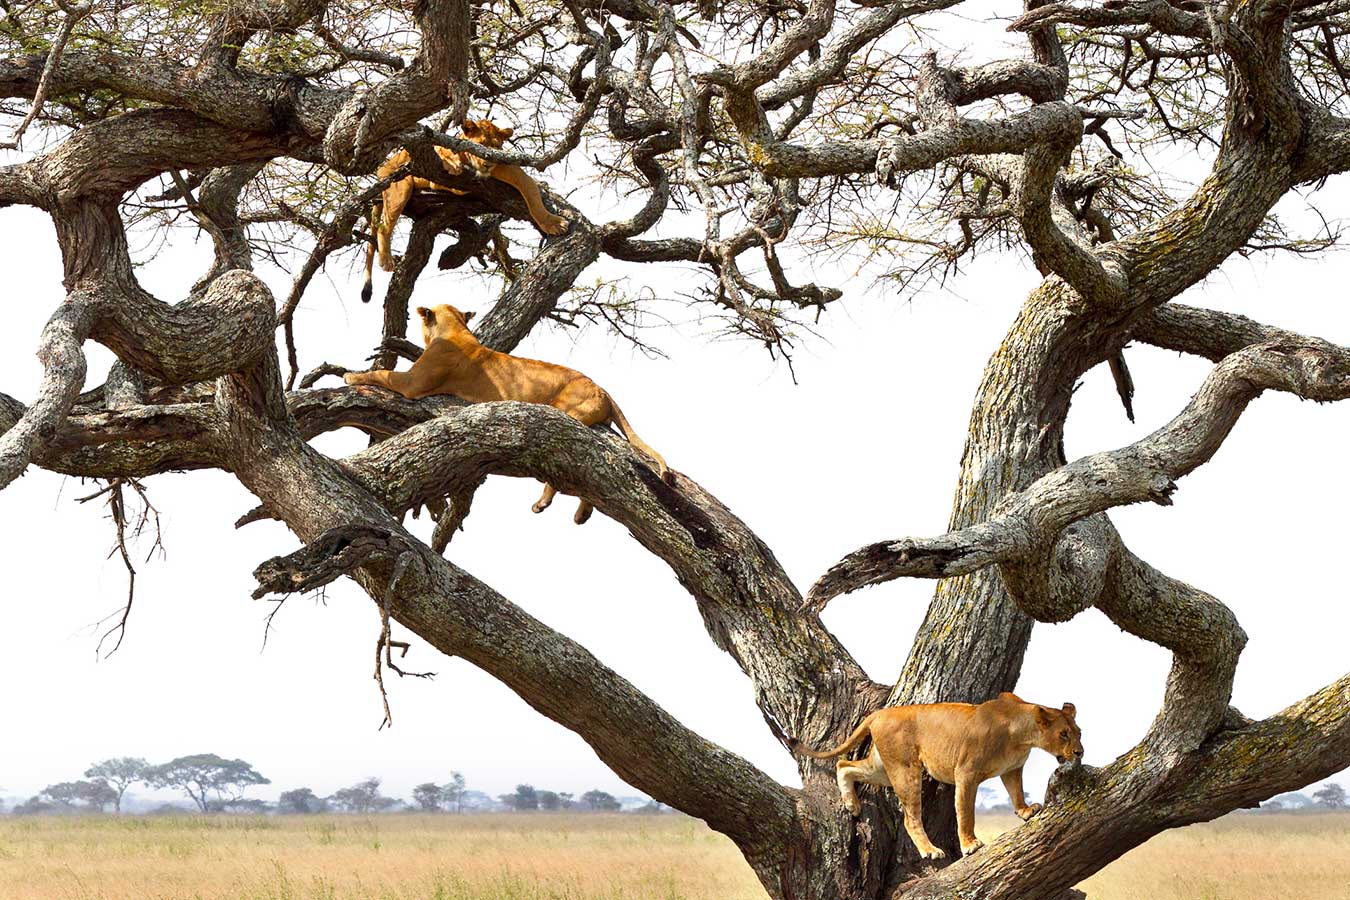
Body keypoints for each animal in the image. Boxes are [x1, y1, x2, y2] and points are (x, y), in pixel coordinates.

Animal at [344, 303, 672, 524]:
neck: (456, 330)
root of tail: (602, 388)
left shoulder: (412, 383)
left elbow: (382, 374)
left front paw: (351, 376)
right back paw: (582, 513)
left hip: (563, 415)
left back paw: (544, 502)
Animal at [361, 119, 570, 302]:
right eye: (481, 145)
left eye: (495, 147)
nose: (487, 164)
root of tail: (384, 166)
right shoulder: (436, 169)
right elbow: (448, 163)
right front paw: (454, 165)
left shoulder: (509, 169)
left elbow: (532, 191)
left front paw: (553, 223)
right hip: (399, 188)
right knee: (384, 226)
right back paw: (386, 260)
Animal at [789, 692, 1083, 859]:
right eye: (1063, 734)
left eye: (1078, 732)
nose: (1080, 752)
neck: (1022, 735)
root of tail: (880, 713)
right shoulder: (966, 773)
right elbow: (965, 814)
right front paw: (970, 845)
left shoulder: (1012, 769)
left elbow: (1016, 791)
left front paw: (1025, 810)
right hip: (905, 770)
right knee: (909, 818)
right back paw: (930, 851)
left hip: (883, 768)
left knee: (843, 764)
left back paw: (851, 803)